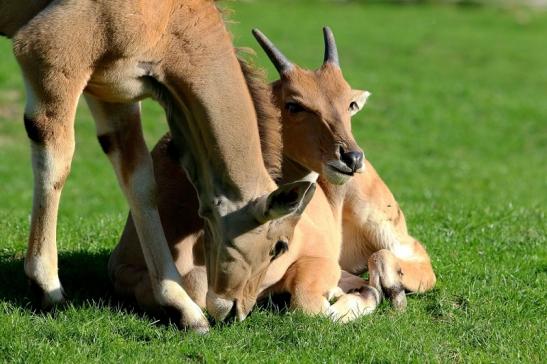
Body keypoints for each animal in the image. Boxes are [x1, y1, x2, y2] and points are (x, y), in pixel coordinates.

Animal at [1, 0, 330, 332]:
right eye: (279, 246)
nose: (237, 311)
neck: (170, 14)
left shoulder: (114, 93)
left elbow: (140, 183)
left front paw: (183, 308)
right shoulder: (49, 53)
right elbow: (57, 162)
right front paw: (46, 287)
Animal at [110, 29, 436, 324]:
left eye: (350, 104)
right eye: (294, 104)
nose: (352, 158)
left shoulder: (318, 259)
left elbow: (308, 303)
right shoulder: (123, 266)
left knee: (410, 257)